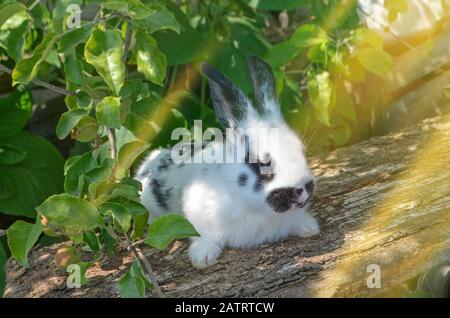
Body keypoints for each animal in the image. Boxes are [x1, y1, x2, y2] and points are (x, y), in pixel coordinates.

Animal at [136, 55, 320, 268]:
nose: (303, 188)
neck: (256, 207)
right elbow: (201, 234)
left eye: (302, 152)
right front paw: (203, 258)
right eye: (262, 164)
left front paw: (309, 228)